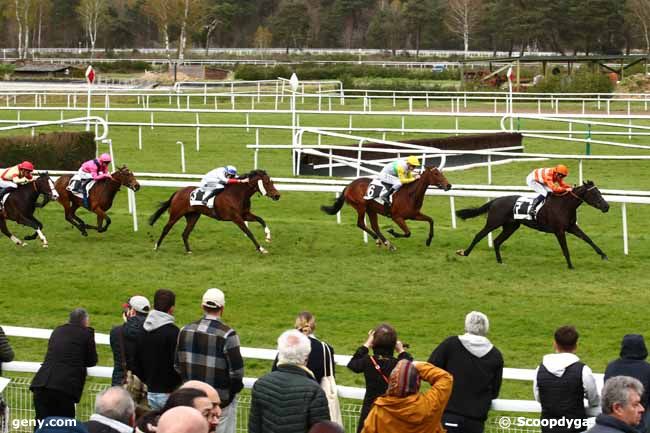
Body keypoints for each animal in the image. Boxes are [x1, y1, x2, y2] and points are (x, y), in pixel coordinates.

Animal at [149, 170, 280, 253]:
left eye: (272, 181)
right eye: (267, 182)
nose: (277, 195)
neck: (237, 194)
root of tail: (178, 192)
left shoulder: (245, 214)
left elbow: (261, 219)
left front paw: (268, 236)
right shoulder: (236, 217)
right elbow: (249, 232)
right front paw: (261, 249)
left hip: (193, 216)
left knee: (185, 233)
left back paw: (189, 251)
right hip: (176, 214)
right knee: (166, 229)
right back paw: (156, 247)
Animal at [318, 165, 450, 250]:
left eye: (442, 173)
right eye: (436, 174)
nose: (449, 185)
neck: (410, 194)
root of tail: (349, 186)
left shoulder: (414, 215)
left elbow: (431, 220)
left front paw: (429, 240)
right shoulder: (397, 217)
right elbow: (408, 233)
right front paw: (393, 232)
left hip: (371, 209)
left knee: (374, 226)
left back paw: (387, 243)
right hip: (361, 206)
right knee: (361, 223)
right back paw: (380, 240)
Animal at [454, 178, 612, 266]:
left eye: (599, 192)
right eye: (594, 193)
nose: (606, 206)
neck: (564, 205)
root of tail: (495, 200)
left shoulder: (571, 227)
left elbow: (588, 239)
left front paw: (603, 255)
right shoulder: (559, 231)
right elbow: (565, 249)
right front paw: (570, 265)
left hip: (511, 227)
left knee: (497, 241)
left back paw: (500, 262)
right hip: (493, 222)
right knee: (479, 235)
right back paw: (464, 253)